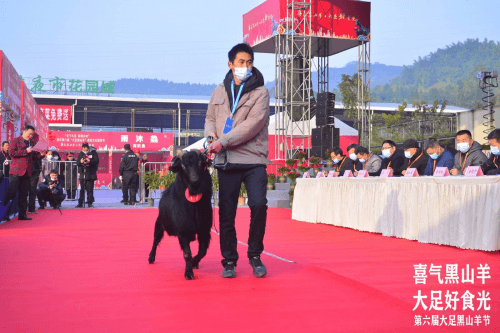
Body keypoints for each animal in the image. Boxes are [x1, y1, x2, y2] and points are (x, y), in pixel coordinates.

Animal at [146, 149, 213, 278]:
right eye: (183, 166)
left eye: (200, 163)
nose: (194, 178)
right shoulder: (183, 231)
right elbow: (187, 253)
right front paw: (189, 273)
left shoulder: (204, 230)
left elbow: (202, 251)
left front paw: (194, 263)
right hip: (159, 224)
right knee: (155, 240)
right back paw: (151, 258)